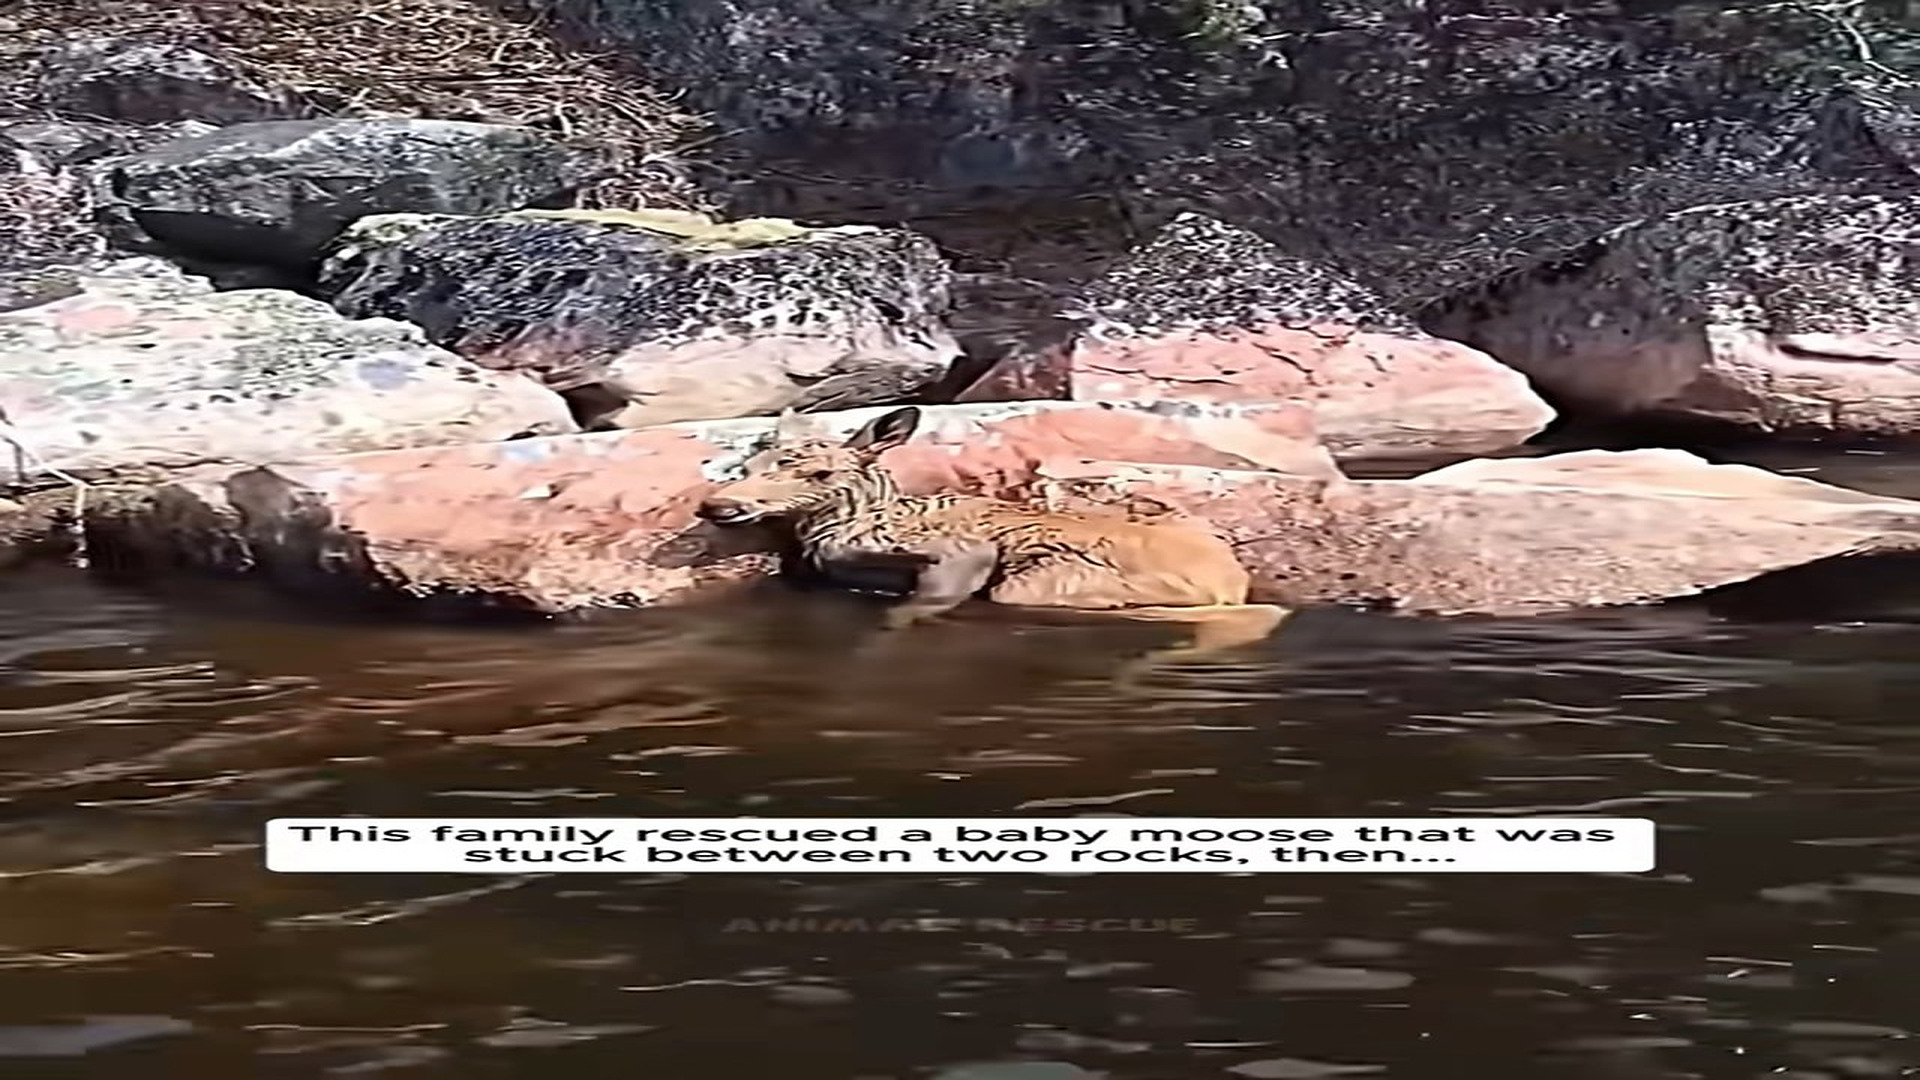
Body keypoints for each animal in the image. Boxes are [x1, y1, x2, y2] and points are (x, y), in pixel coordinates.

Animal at [694, 405, 1288, 676]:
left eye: (817, 474)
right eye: (748, 465)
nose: (717, 506)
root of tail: (1228, 578)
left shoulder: (959, 554)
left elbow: (906, 610)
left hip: (1041, 584)